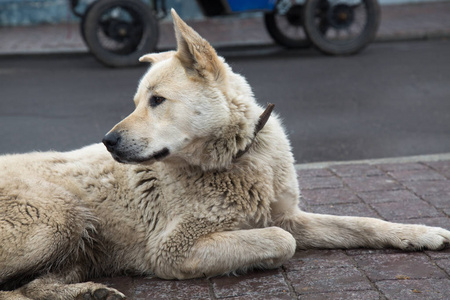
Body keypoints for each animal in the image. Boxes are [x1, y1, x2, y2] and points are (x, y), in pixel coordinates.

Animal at [0, 9, 450, 300]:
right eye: (137, 102)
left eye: (156, 100)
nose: (108, 141)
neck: (236, 160)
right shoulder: (171, 249)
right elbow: (281, 240)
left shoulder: (290, 214)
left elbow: (363, 223)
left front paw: (420, 234)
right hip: (59, 220)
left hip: (74, 242)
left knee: (32, 286)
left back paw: (87, 292)